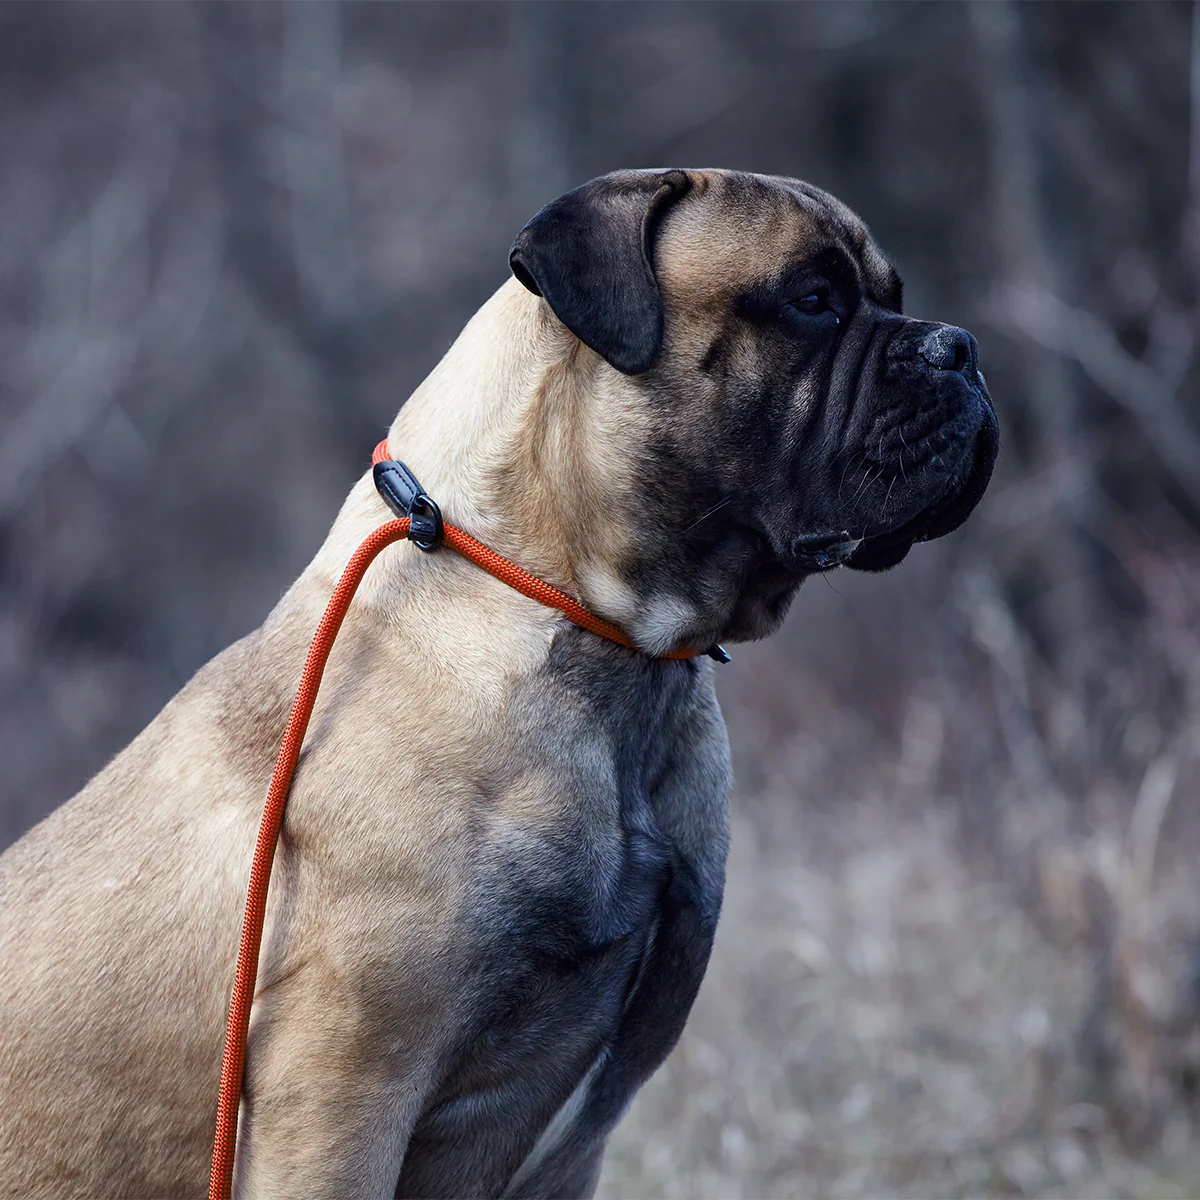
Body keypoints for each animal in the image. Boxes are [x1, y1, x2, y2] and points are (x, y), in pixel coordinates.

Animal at [0, 164, 993, 1195]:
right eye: (812, 300)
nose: (962, 350)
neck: (601, 636)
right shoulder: (341, 1099)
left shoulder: (574, 1137)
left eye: (893, 296)